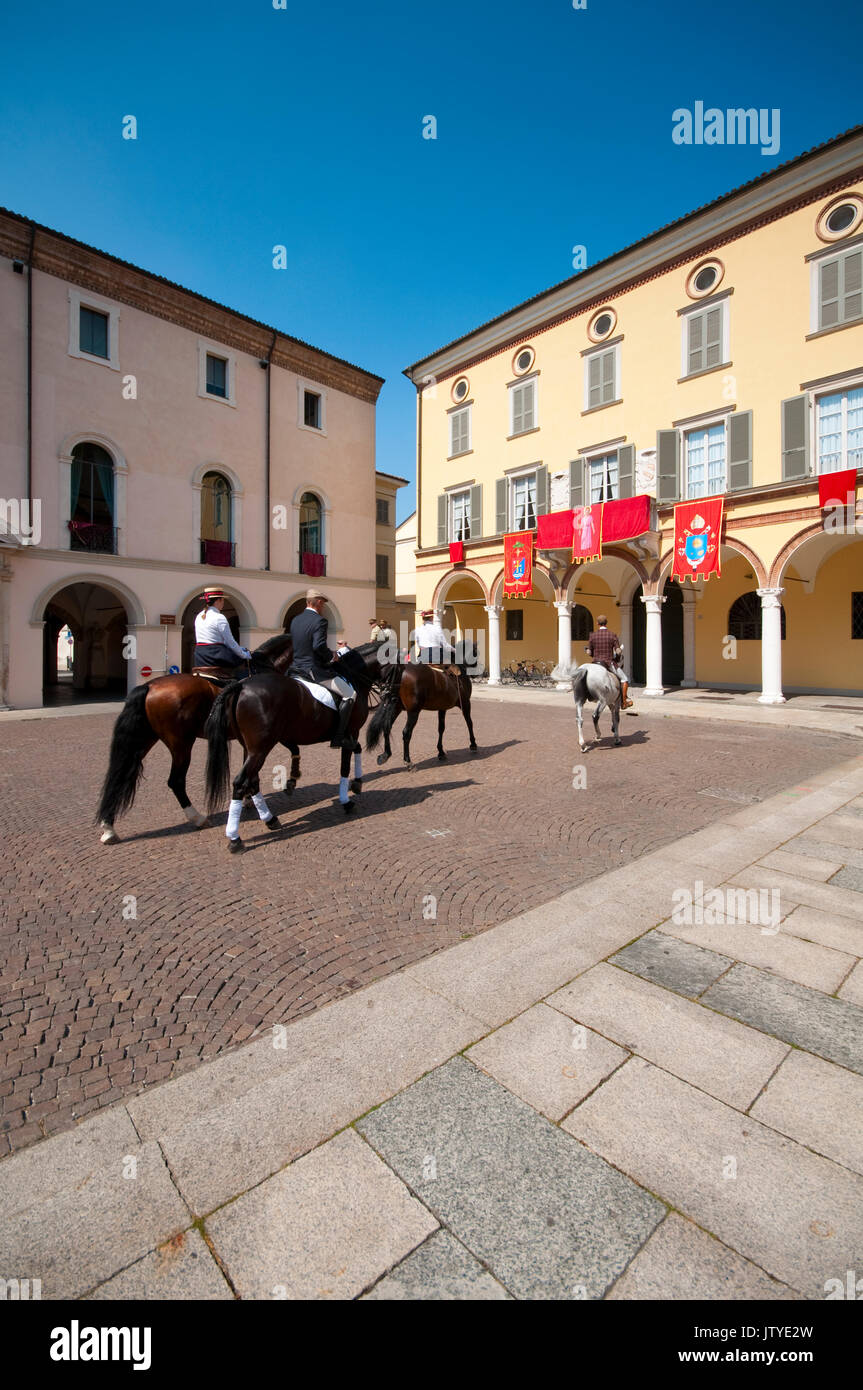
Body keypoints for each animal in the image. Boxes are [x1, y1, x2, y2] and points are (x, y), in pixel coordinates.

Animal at [95, 633, 293, 845]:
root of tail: (148, 686)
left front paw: (248, 799)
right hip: (181, 744)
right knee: (175, 781)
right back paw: (197, 818)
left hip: (145, 740)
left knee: (120, 775)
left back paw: (108, 827)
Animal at [204, 639, 380, 845]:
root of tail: (241, 686)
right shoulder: (351, 732)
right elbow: (345, 765)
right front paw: (347, 799)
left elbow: (354, 750)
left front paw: (355, 783)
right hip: (260, 749)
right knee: (241, 782)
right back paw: (235, 837)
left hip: (251, 747)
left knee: (252, 780)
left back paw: (270, 819)